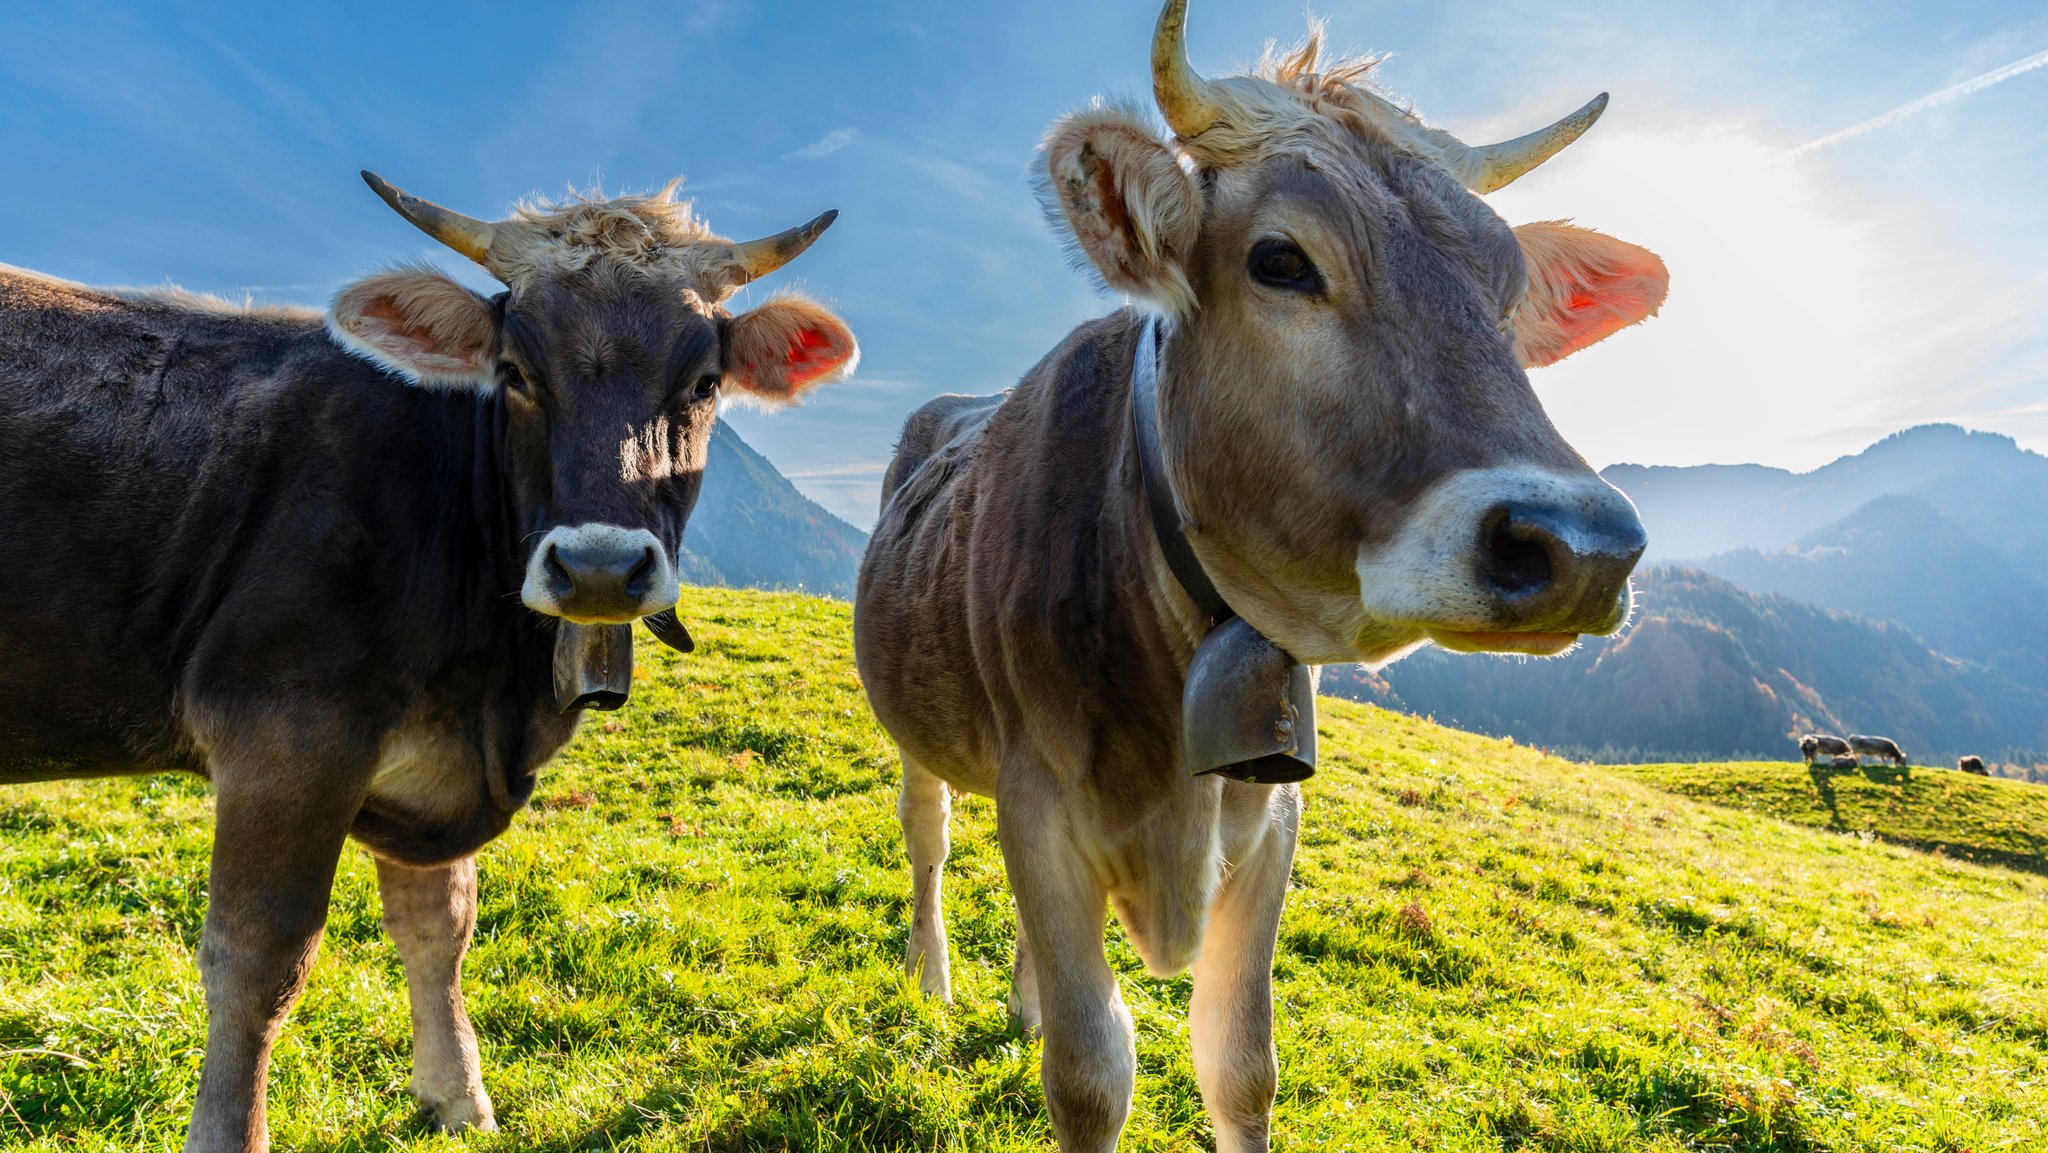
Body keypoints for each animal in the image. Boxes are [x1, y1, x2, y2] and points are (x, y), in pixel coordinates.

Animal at [0, 176, 856, 1146]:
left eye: (704, 381)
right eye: (516, 374)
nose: (600, 566)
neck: (495, 687)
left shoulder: (431, 763)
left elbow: (439, 926)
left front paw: (458, 1096)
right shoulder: (286, 732)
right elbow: (258, 962)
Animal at [856, 4, 1671, 1146]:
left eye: (1510, 294)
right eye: (1281, 260)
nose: (1579, 547)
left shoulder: (1270, 819)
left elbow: (1240, 1064)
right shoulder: (1038, 798)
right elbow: (1090, 1071)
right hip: (917, 727)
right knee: (926, 838)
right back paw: (932, 979)